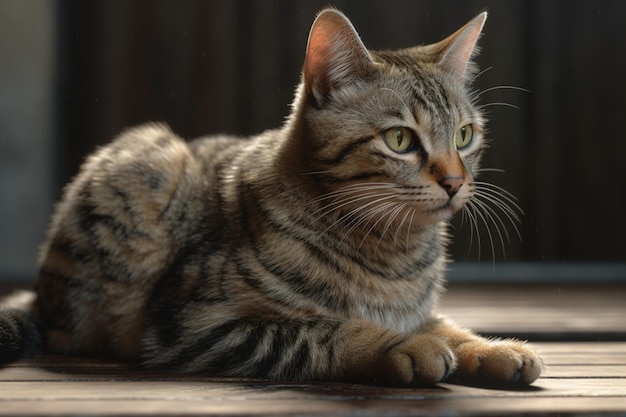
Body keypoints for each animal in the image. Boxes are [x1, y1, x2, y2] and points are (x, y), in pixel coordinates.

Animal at [0, 8, 540, 386]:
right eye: (400, 140)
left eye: (465, 136)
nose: (454, 181)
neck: (393, 254)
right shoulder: (199, 323)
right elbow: (326, 331)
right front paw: (404, 345)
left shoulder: (422, 308)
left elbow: (446, 323)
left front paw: (493, 349)